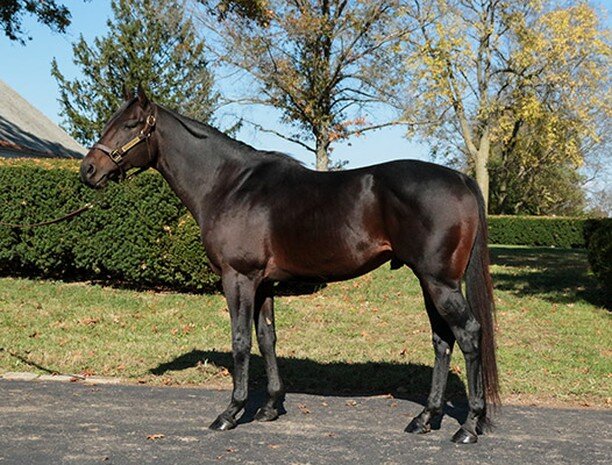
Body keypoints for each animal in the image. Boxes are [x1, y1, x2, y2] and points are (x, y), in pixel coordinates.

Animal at [80, 86, 498, 442]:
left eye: (130, 125)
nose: (88, 170)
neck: (229, 185)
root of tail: (461, 179)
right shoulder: (264, 283)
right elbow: (267, 338)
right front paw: (269, 406)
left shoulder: (238, 278)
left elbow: (240, 340)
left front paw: (231, 412)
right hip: (431, 282)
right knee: (442, 341)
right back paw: (425, 418)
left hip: (440, 282)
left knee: (469, 334)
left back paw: (469, 426)